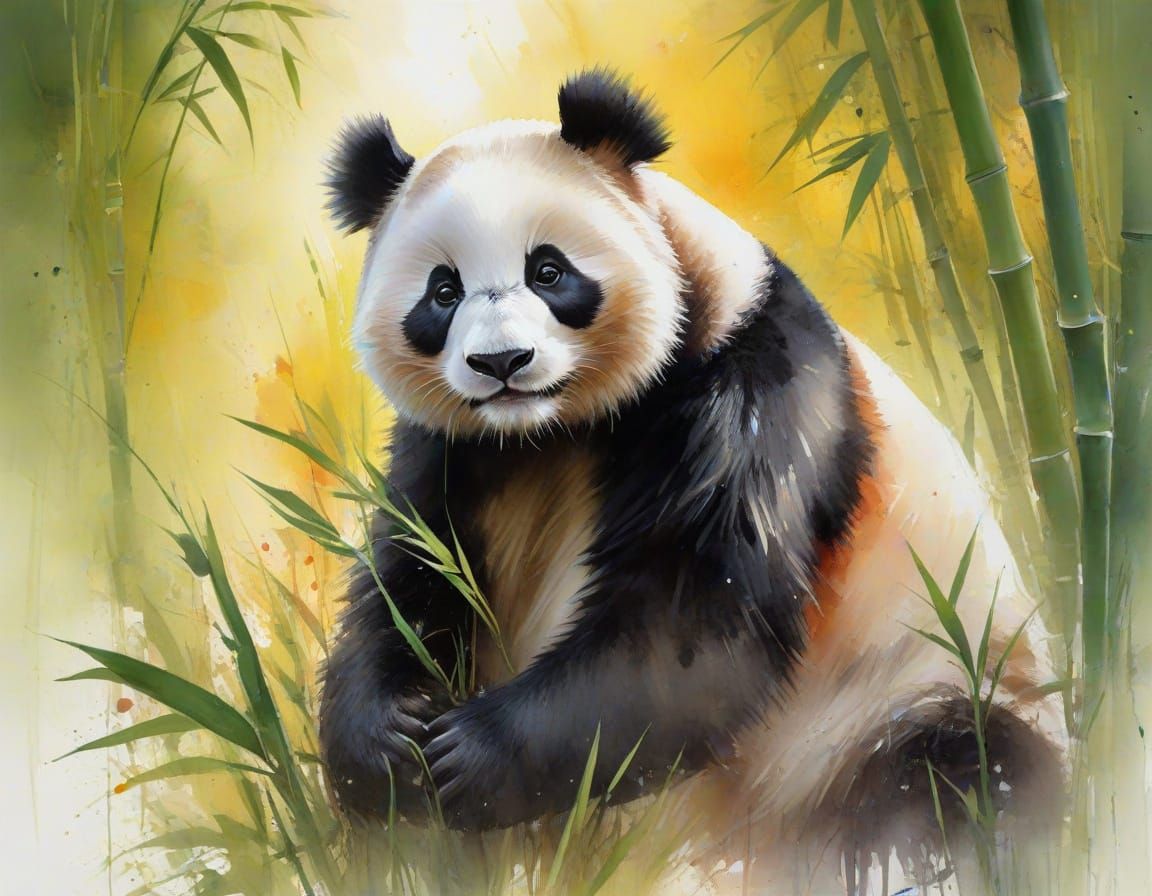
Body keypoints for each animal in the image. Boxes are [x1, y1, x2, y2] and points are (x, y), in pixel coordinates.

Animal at [318, 68, 1067, 886]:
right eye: (443, 291)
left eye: (548, 271)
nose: (501, 363)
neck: (551, 432)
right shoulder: (450, 450)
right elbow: (410, 576)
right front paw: (385, 742)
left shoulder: (749, 387)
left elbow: (694, 629)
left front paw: (463, 759)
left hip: (906, 700)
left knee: (956, 777)